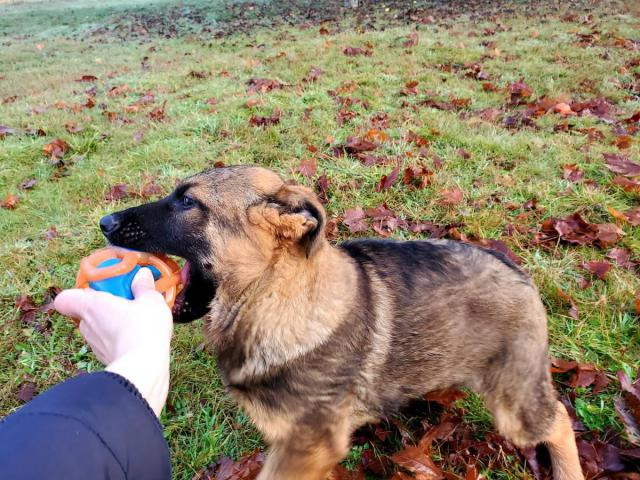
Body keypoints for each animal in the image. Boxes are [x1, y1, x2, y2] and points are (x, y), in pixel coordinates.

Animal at [100, 165, 584, 480]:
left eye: (187, 201)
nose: (104, 221)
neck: (273, 294)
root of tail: (518, 271)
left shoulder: (311, 445)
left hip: (515, 406)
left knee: (559, 419)